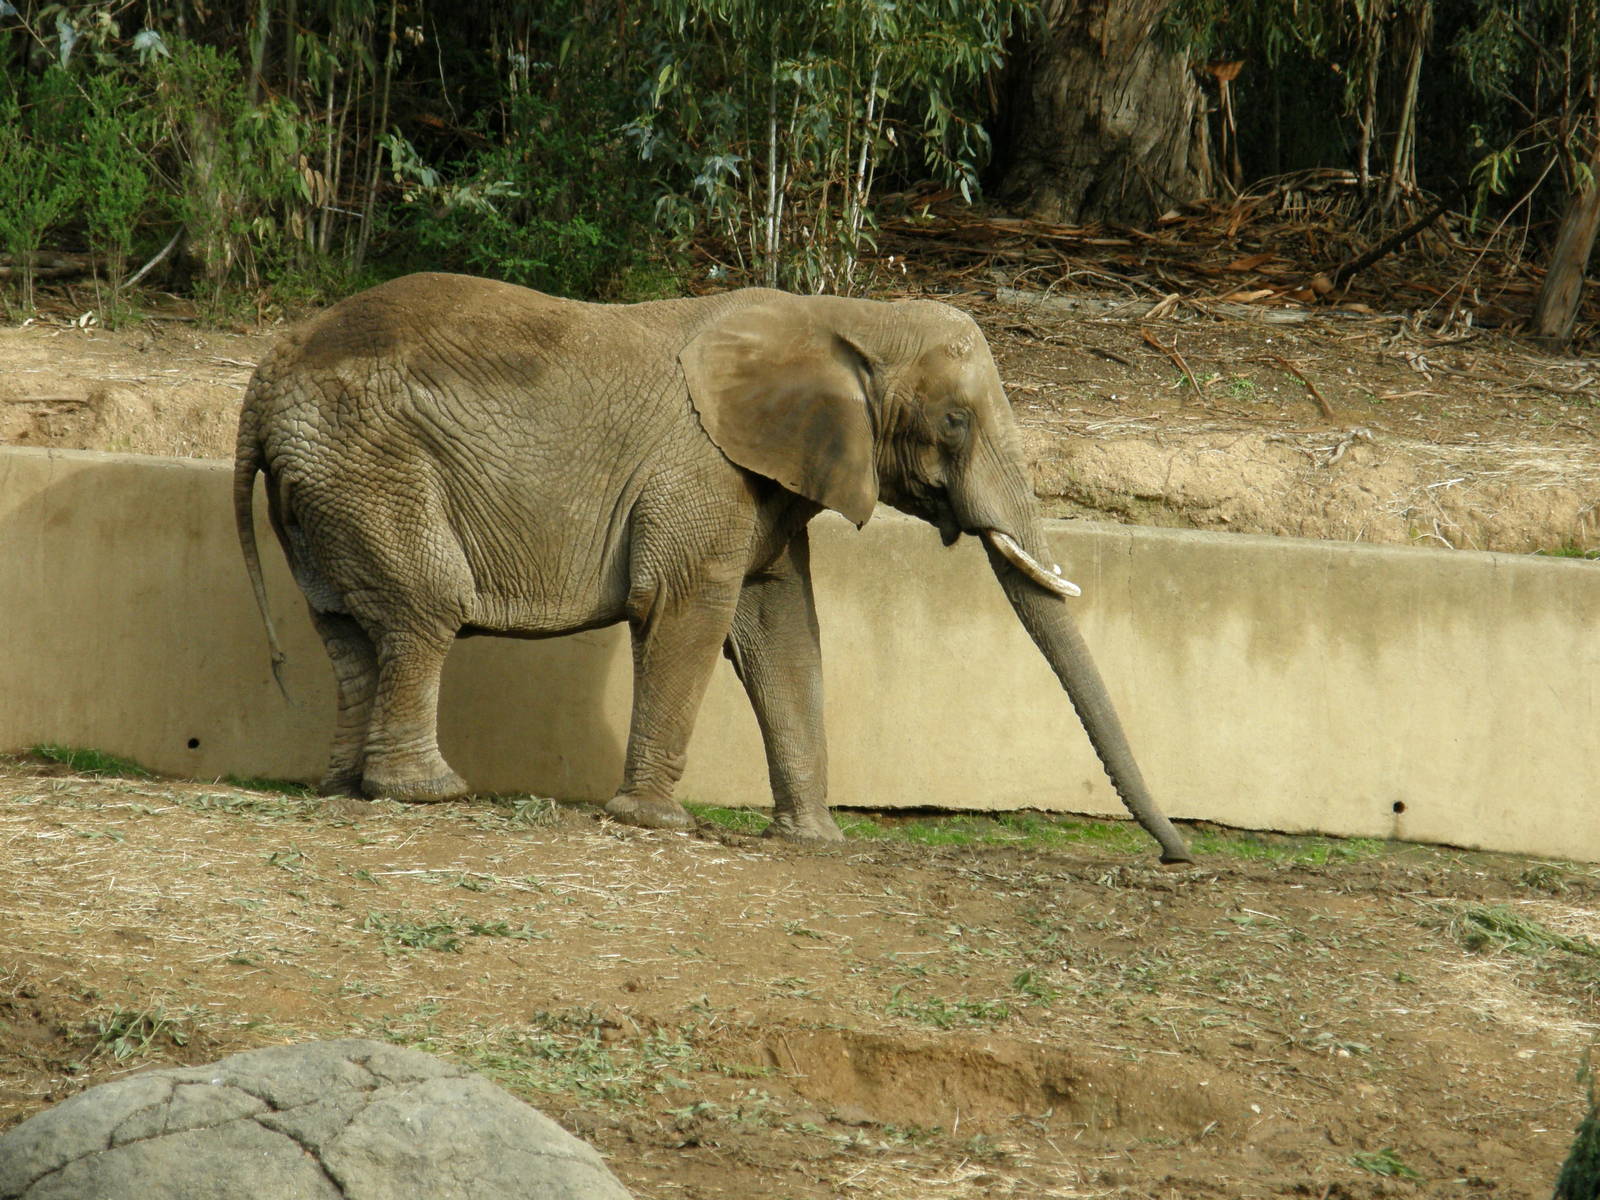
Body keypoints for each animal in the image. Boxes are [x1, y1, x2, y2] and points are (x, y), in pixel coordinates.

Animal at [233, 272, 1192, 862]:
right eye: (955, 423)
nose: (1178, 856)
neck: (843, 315)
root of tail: (265, 377)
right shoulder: (702, 469)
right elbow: (687, 608)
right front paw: (659, 823)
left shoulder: (769, 481)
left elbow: (784, 630)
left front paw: (814, 842)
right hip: (369, 465)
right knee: (426, 609)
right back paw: (427, 794)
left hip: (324, 486)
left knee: (348, 629)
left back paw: (343, 789)